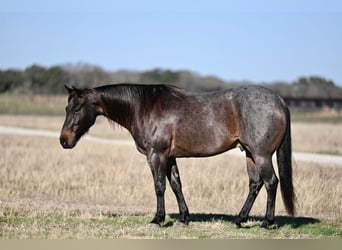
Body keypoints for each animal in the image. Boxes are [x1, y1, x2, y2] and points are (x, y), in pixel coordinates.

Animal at [58, 84, 294, 229]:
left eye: (77, 108)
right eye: (66, 107)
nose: (64, 140)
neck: (143, 108)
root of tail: (280, 101)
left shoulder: (156, 155)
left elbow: (159, 187)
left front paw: (157, 219)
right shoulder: (169, 157)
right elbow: (176, 185)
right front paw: (184, 218)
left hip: (261, 155)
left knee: (271, 183)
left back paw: (267, 222)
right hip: (250, 154)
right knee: (255, 184)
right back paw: (239, 219)